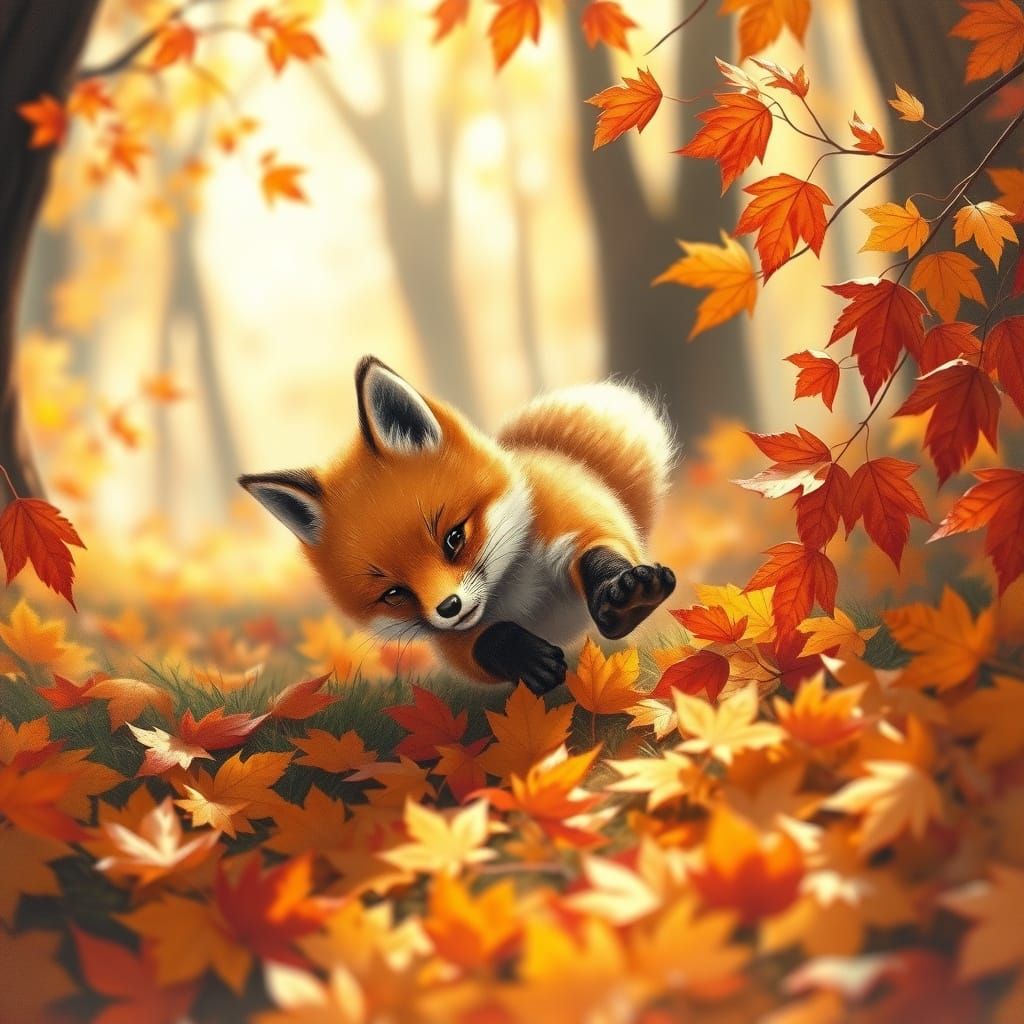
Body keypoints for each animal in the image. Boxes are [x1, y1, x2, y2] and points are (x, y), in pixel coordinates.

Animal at [239, 356, 676, 695]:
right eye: (394, 593)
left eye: (454, 538)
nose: (449, 607)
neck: (518, 595)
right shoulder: (451, 641)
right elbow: (486, 642)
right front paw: (524, 657)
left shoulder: (566, 513)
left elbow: (599, 551)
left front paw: (628, 599)